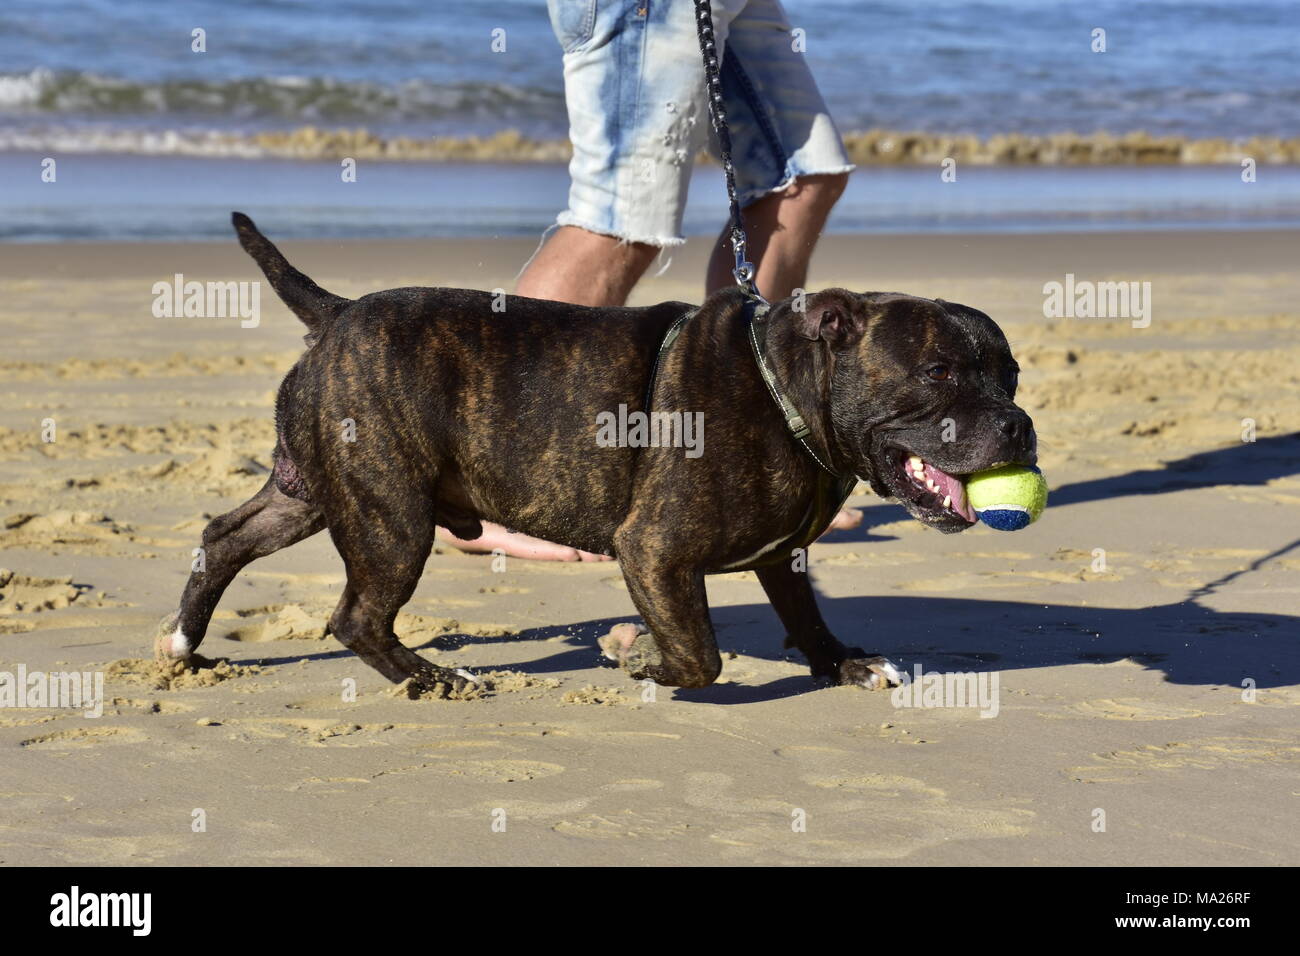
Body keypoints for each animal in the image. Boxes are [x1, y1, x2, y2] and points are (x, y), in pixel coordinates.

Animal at [157, 214, 1034, 697]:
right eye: (937, 372)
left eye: (1013, 375)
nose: (1019, 426)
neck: (784, 386)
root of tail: (336, 314)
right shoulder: (654, 551)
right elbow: (700, 654)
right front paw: (642, 660)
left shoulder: (781, 556)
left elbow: (807, 619)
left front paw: (844, 665)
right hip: (391, 517)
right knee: (356, 617)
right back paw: (436, 681)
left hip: (310, 493)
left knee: (224, 538)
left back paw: (183, 643)